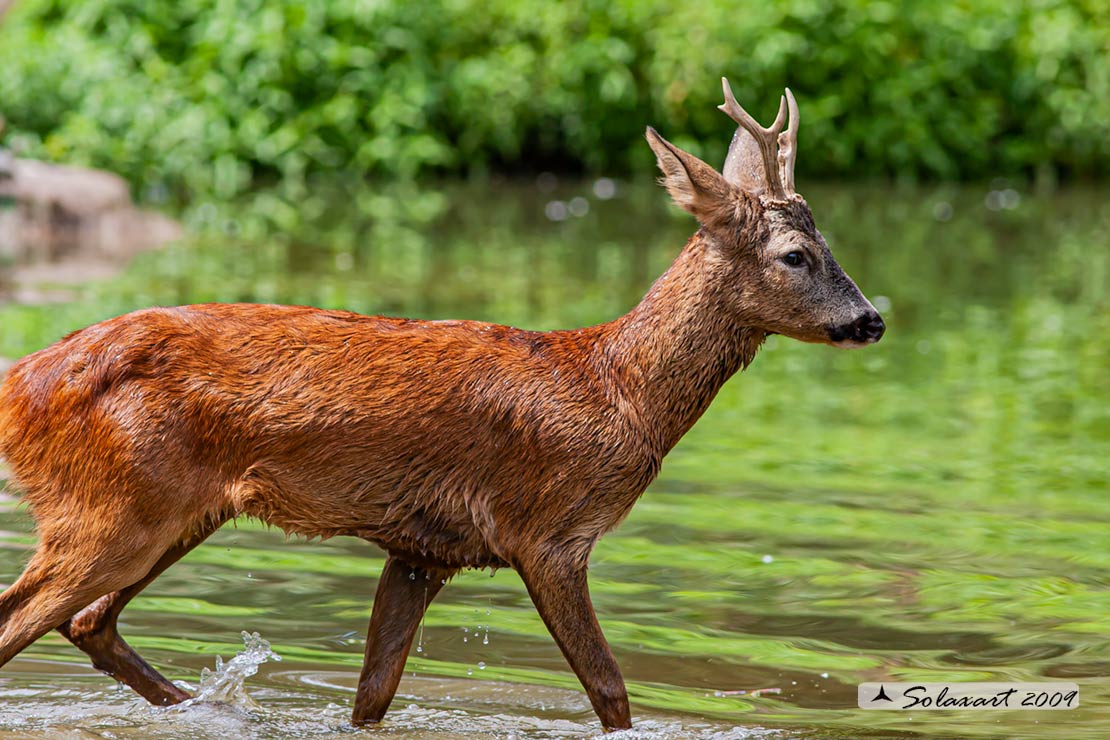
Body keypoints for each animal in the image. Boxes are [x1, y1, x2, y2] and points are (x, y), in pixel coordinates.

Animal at [0, 79, 883, 727]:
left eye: (830, 244)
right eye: (795, 255)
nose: (871, 319)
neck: (617, 391)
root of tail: (21, 379)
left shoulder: (424, 549)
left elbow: (374, 695)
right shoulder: (548, 531)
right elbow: (610, 690)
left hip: (175, 509)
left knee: (89, 622)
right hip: (112, 505)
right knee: (25, 617)